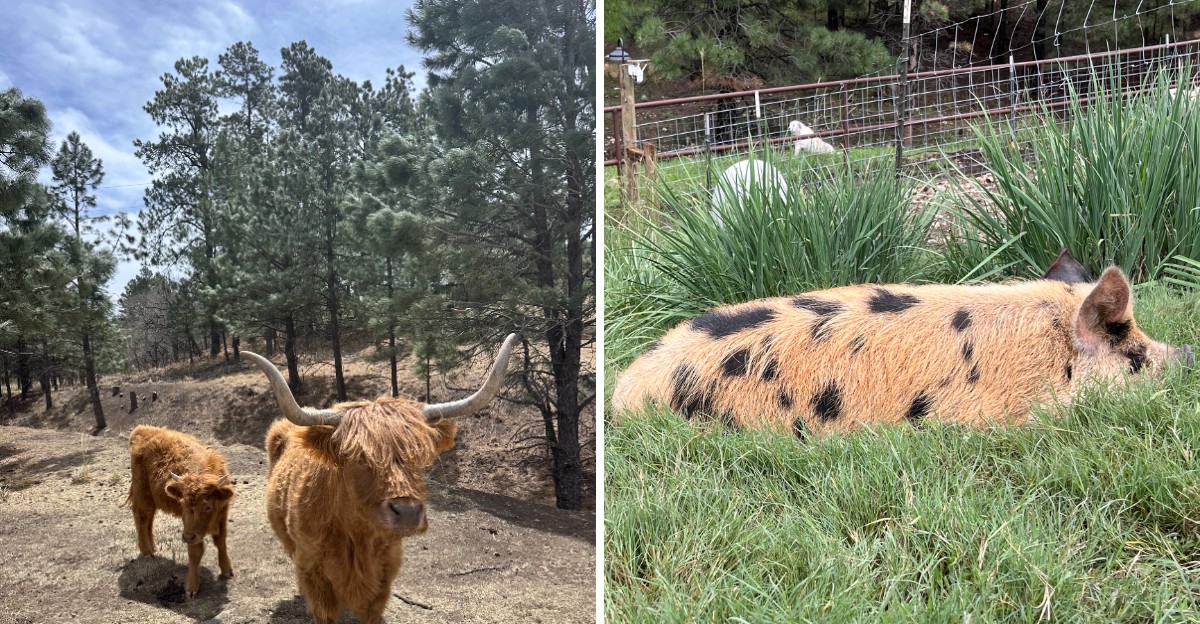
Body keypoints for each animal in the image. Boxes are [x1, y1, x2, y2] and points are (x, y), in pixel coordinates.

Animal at [126, 425, 235, 599]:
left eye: (207, 506)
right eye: (182, 504)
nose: (188, 537)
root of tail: (142, 429)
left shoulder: (222, 516)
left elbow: (221, 542)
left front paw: (227, 571)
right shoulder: (189, 527)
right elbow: (195, 552)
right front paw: (191, 587)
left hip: (153, 499)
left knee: (149, 519)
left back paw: (153, 548)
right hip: (143, 495)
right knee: (141, 518)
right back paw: (146, 551)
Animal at [242, 333, 518, 624]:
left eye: (418, 456)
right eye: (359, 458)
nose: (407, 513)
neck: (356, 534)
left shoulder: (385, 571)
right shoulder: (313, 571)